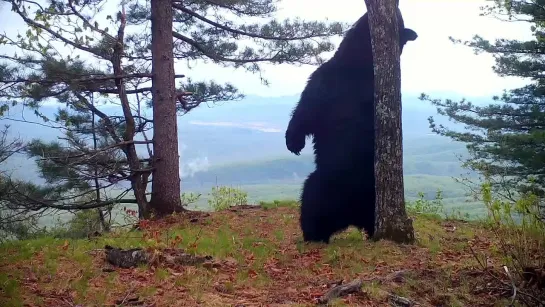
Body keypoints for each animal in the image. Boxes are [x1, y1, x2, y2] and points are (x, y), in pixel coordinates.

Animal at [284, 8, 416, 244]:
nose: (398, 7)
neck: (357, 68)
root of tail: (350, 216)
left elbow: (308, 108)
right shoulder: (330, 79)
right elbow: (308, 108)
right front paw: (294, 142)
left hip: (358, 192)